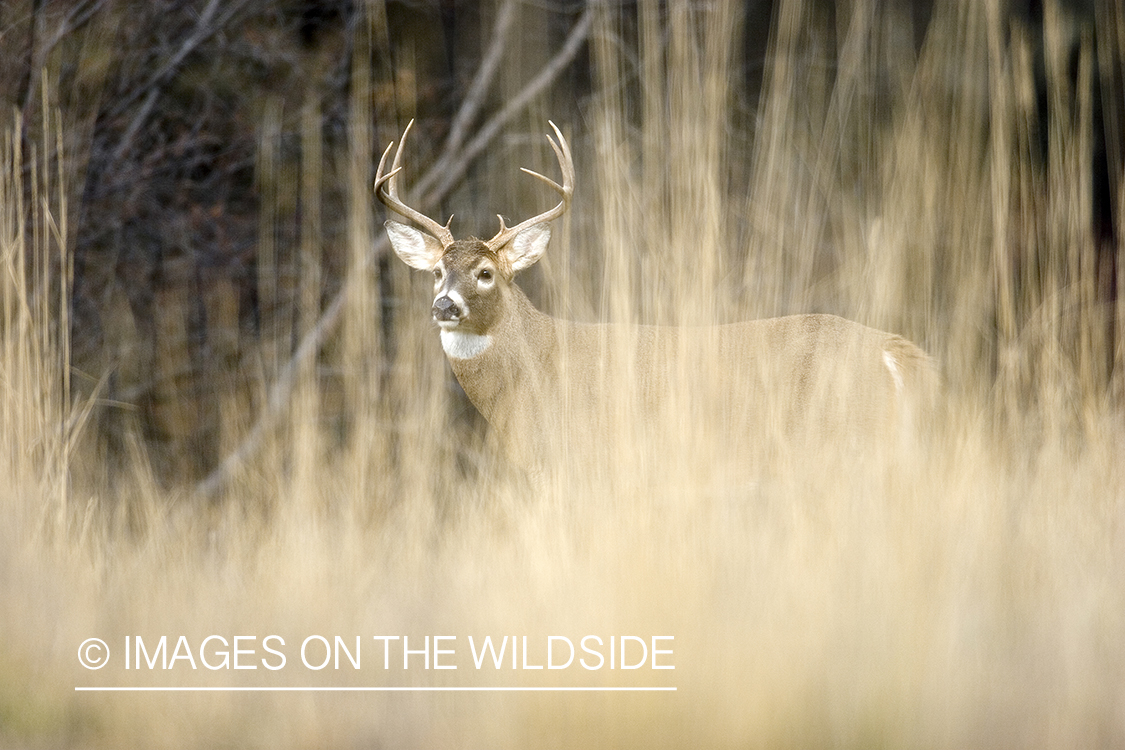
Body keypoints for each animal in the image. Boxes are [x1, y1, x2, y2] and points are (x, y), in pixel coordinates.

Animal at [373, 117, 936, 481]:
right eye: (437, 272)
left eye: (486, 273)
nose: (445, 306)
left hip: (846, 440)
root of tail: (895, 351)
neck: (533, 369)